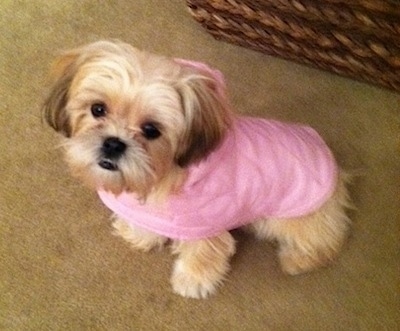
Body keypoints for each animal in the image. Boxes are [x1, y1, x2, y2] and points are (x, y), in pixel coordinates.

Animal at [42, 40, 352, 300]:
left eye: (151, 130)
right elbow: (148, 226)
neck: (164, 175)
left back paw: (297, 259)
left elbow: (203, 254)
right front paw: (138, 235)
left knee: (325, 240)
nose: (113, 143)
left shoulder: (204, 225)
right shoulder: (156, 213)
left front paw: (192, 281)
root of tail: (336, 170)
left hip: (288, 218)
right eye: (98, 109)